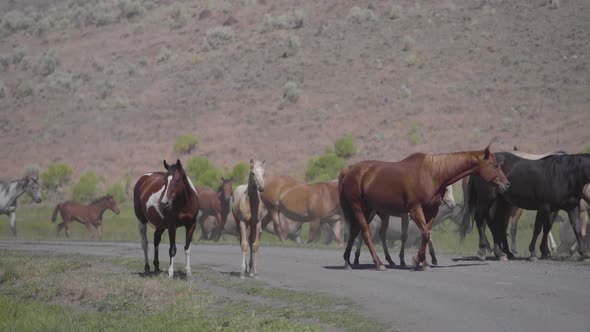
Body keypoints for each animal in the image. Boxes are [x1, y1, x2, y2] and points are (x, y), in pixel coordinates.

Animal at [340, 147, 512, 272]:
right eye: (495, 166)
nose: (507, 184)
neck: (431, 174)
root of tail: (349, 170)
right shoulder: (415, 210)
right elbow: (426, 234)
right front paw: (418, 261)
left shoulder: (430, 211)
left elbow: (426, 234)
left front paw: (421, 262)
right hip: (359, 208)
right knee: (365, 234)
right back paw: (378, 263)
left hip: (368, 210)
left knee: (355, 232)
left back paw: (348, 261)